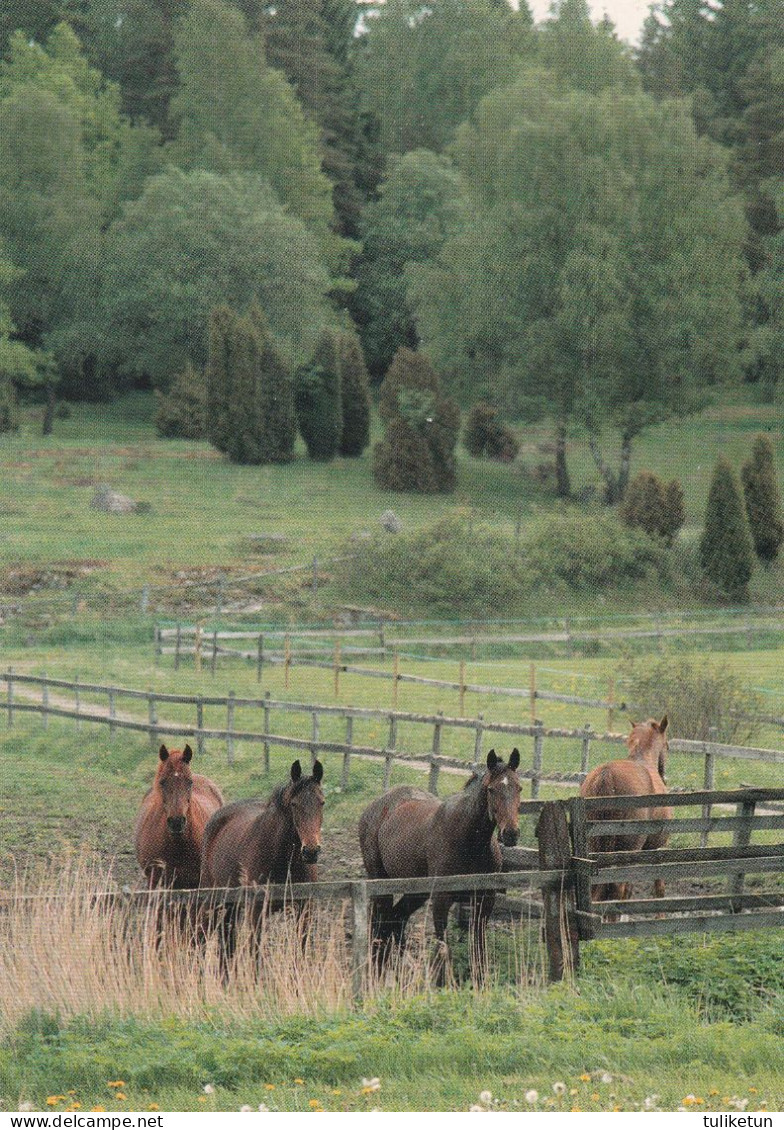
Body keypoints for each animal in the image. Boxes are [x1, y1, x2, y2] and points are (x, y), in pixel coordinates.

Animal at [202, 759, 327, 962]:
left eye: (322, 802)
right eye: (294, 804)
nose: (311, 851)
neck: (284, 861)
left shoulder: (304, 909)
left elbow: (301, 951)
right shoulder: (256, 911)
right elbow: (255, 955)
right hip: (212, 899)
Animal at [356, 754, 521, 985]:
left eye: (519, 788)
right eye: (491, 790)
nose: (511, 833)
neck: (470, 841)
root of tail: (375, 807)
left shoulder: (485, 899)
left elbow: (478, 947)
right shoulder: (442, 899)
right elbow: (444, 947)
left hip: (417, 892)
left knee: (396, 920)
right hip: (381, 884)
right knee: (380, 923)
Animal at [578, 714, 673, 908]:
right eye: (667, 745)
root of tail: (606, 775)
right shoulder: (658, 848)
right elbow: (658, 888)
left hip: (594, 849)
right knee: (618, 888)